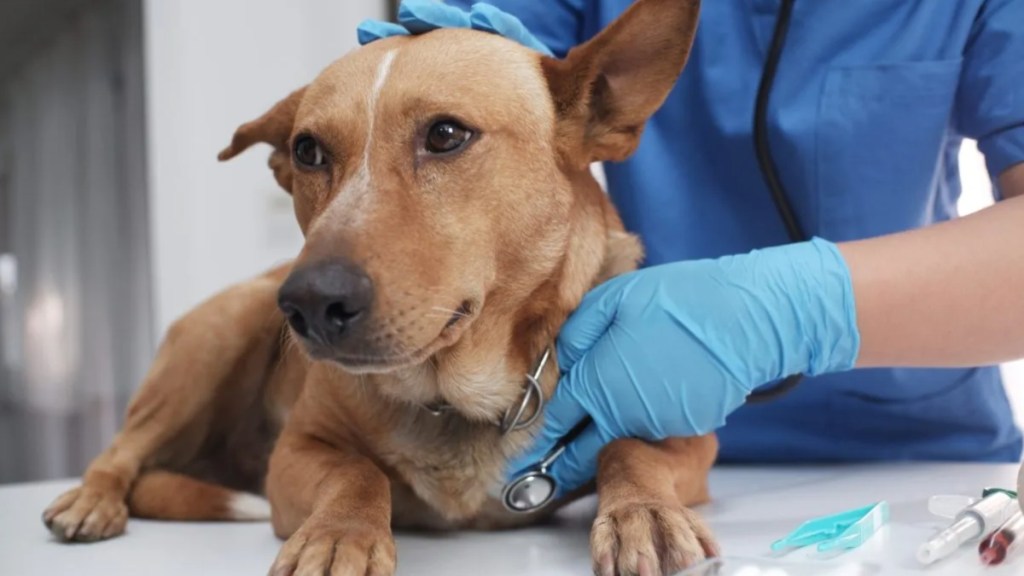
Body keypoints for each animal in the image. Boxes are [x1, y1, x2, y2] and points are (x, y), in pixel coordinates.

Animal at [41, 2, 720, 569]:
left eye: (446, 134)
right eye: (307, 151)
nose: (309, 303)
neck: (456, 393)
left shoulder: (692, 442)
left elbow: (628, 449)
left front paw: (644, 513)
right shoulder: (295, 454)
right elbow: (355, 473)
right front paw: (340, 533)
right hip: (219, 332)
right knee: (121, 451)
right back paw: (92, 500)